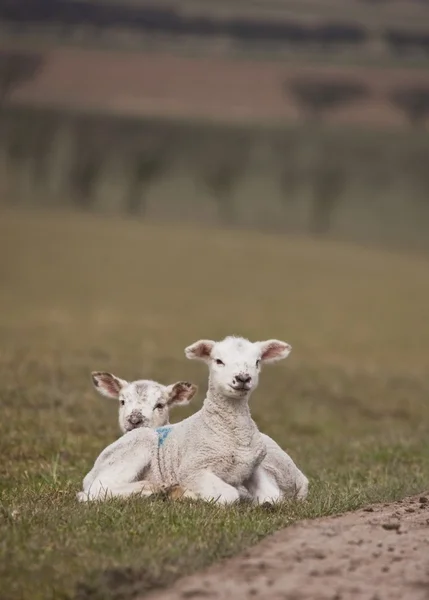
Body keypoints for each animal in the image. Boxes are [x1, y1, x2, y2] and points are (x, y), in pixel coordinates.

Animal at [79, 336, 308, 504]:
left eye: (257, 362)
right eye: (218, 361)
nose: (243, 378)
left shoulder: (255, 468)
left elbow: (272, 498)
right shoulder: (193, 469)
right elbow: (229, 495)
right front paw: (187, 493)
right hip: (139, 442)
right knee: (95, 490)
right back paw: (153, 488)